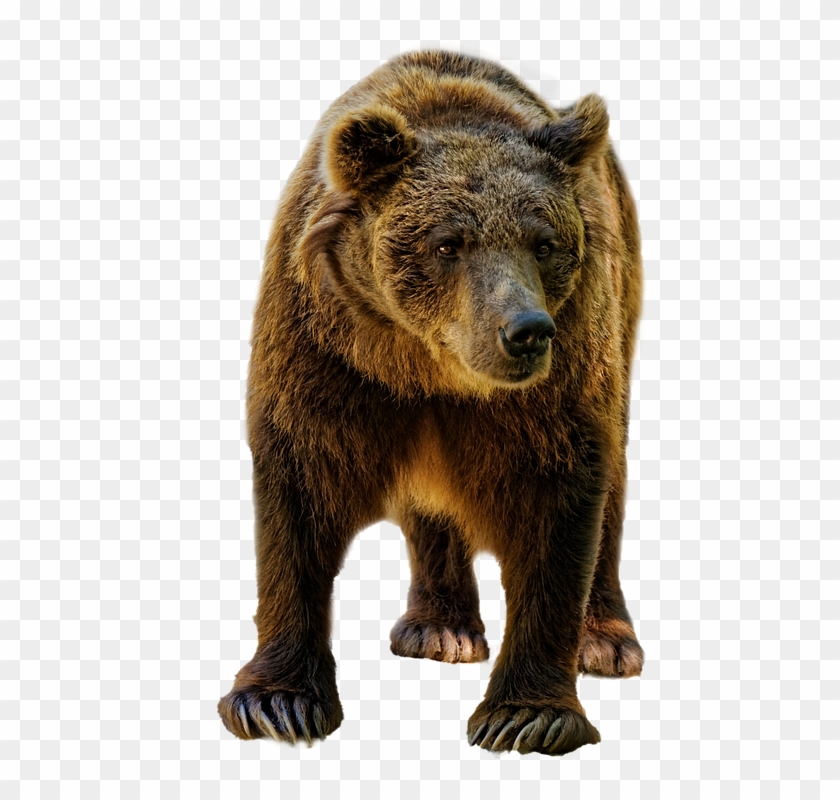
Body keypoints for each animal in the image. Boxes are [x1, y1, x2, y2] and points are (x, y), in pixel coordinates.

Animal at [218, 50, 643, 756]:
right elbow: (300, 488)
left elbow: (561, 493)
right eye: (449, 243)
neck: (429, 369)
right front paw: (277, 701)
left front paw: (527, 714)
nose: (526, 330)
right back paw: (440, 628)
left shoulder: (561, 377)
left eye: (544, 241)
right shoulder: (325, 352)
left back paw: (607, 640)